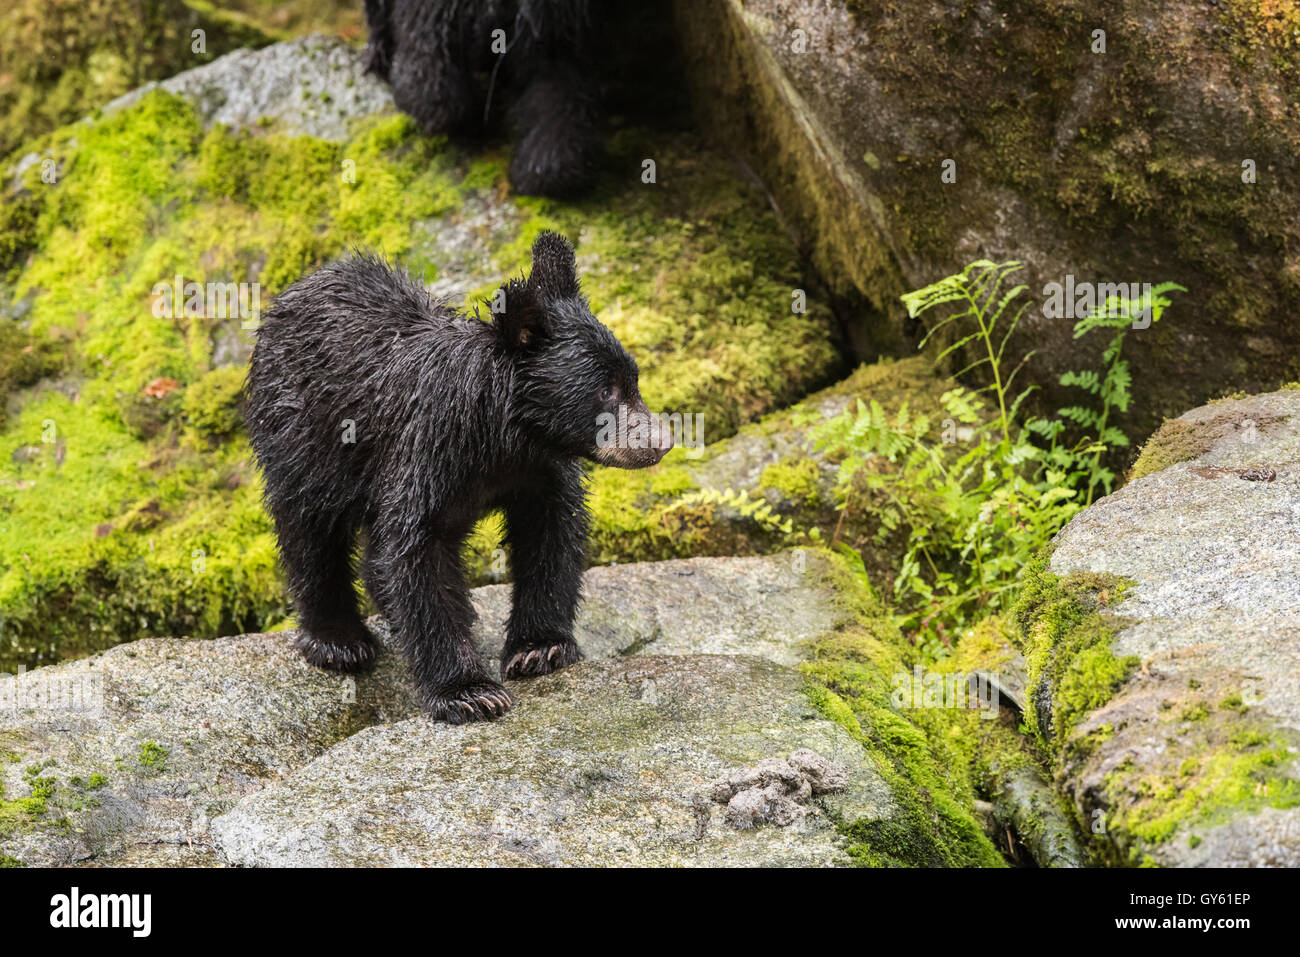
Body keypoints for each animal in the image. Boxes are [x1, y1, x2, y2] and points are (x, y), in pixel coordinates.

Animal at [245, 232, 672, 723]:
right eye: (606, 390)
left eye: (633, 380)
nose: (662, 441)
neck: (501, 440)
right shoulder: (427, 452)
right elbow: (419, 551)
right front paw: (468, 692)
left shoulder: (540, 471)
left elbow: (552, 533)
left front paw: (540, 648)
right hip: (303, 435)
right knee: (309, 528)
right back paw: (338, 641)